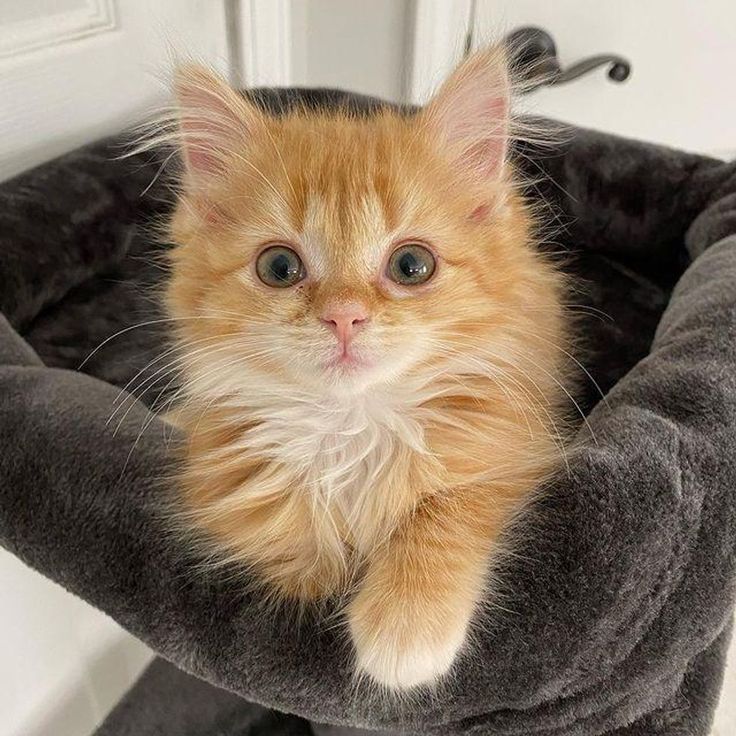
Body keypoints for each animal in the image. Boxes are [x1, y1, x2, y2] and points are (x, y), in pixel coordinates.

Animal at [162, 47, 568, 688]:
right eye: (279, 267)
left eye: (411, 265)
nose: (344, 316)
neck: (352, 425)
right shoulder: (229, 480)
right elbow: (292, 550)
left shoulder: (511, 439)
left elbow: (446, 507)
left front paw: (406, 622)